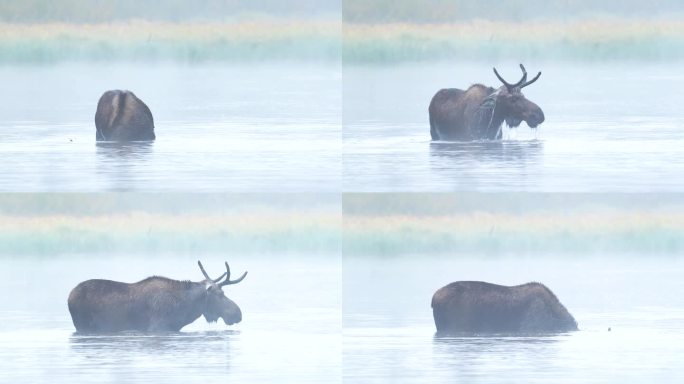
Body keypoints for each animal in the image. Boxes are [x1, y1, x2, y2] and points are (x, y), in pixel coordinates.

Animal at [67, 260, 247, 332]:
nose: (238, 314)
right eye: (220, 294)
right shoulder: (158, 327)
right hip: (82, 325)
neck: (185, 308)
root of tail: (69, 296)